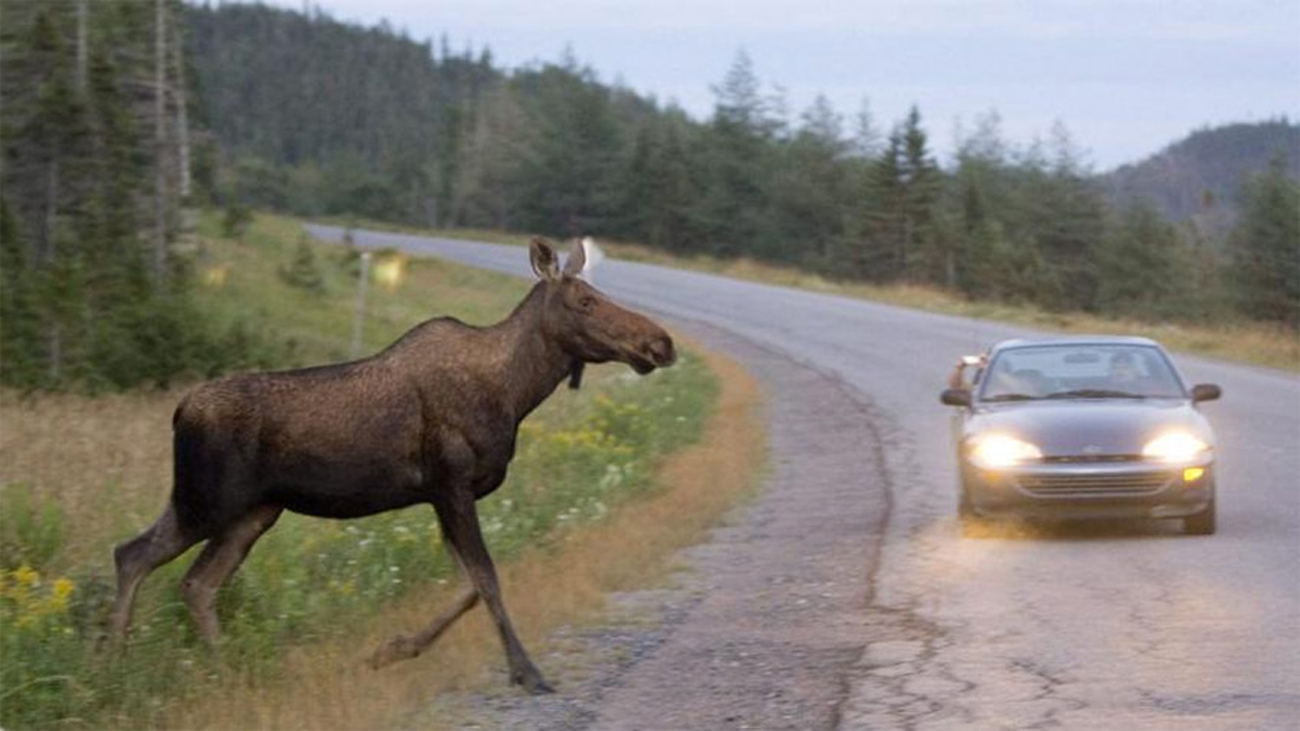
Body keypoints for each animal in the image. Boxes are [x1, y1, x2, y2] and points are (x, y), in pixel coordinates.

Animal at [111, 236, 676, 691]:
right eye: (585, 300)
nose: (662, 342)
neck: (515, 392)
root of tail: (180, 411)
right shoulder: (451, 482)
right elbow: (487, 579)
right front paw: (527, 672)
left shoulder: (444, 494)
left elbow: (467, 587)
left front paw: (389, 651)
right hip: (208, 500)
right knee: (134, 555)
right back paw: (113, 663)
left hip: (251, 511)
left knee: (195, 582)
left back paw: (220, 670)